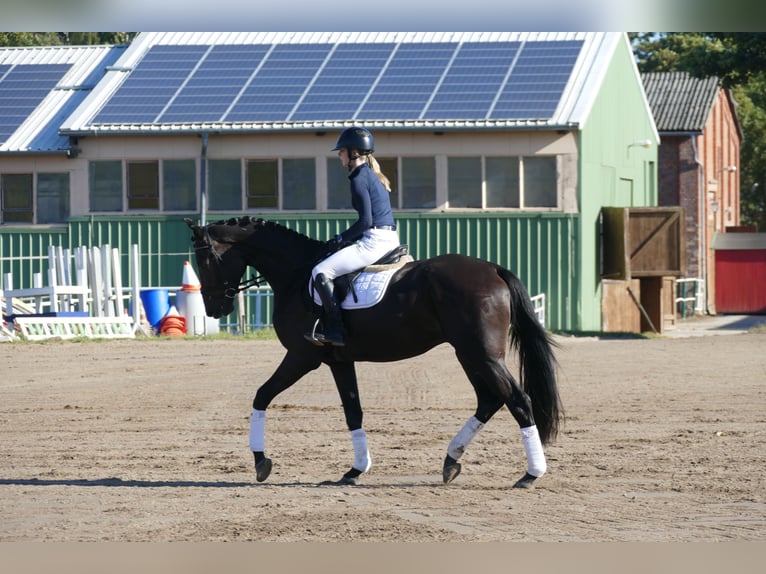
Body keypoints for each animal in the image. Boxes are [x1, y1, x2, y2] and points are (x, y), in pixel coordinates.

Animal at [185, 216, 562, 488]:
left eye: (204, 259)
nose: (214, 309)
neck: (295, 274)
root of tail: (493, 269)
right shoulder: (338, 361)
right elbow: (353, 412)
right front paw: (355, 469)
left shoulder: (302, 357)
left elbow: (262, 395)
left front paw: (261, 461)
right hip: (468, 354)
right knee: (490, 399)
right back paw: (451, 460)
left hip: (481, 354)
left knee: (517, 400)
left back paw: (530, 474)